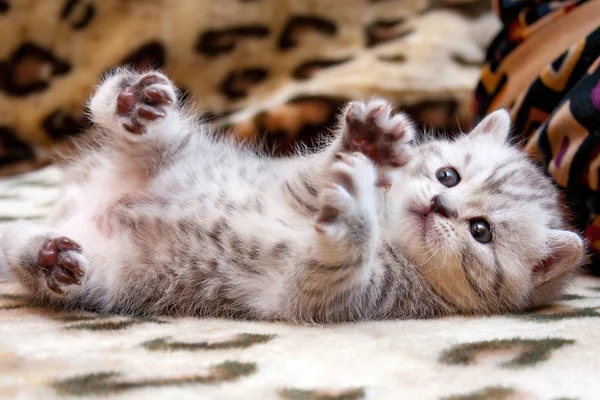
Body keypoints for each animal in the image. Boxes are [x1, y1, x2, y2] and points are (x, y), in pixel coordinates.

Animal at [0, 69, 584, 324]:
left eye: (480, 231)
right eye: (448, 176)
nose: (441, 206)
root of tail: (79, 206)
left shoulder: (323, 294)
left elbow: (335, 259)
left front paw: (354, 218)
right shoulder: (287, 180)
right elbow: (317, 170)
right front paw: (366, 145)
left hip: (108, 274)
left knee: (38, 266)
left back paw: (50, 256)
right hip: (179, 149)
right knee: (135, 125)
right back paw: (132, 102)